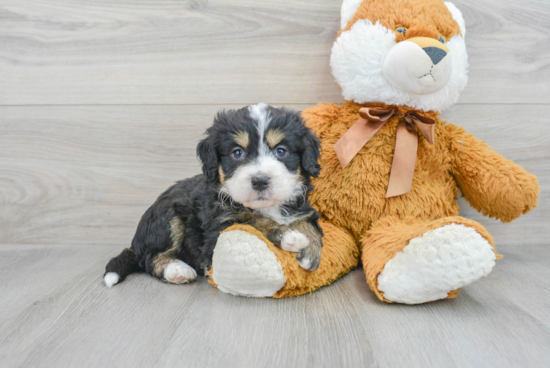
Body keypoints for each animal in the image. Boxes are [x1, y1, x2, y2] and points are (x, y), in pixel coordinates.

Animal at [104, 103, 324, 288]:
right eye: (237, 153)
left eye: (281, 151)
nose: (260, 181)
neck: (266, 207)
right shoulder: (217, 228)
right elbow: (254, 222)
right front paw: (289, 235)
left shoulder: (302, 208)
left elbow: (309, 223)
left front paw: (311, 250)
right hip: (167, 217)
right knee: (150, 258)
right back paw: (177, 270)